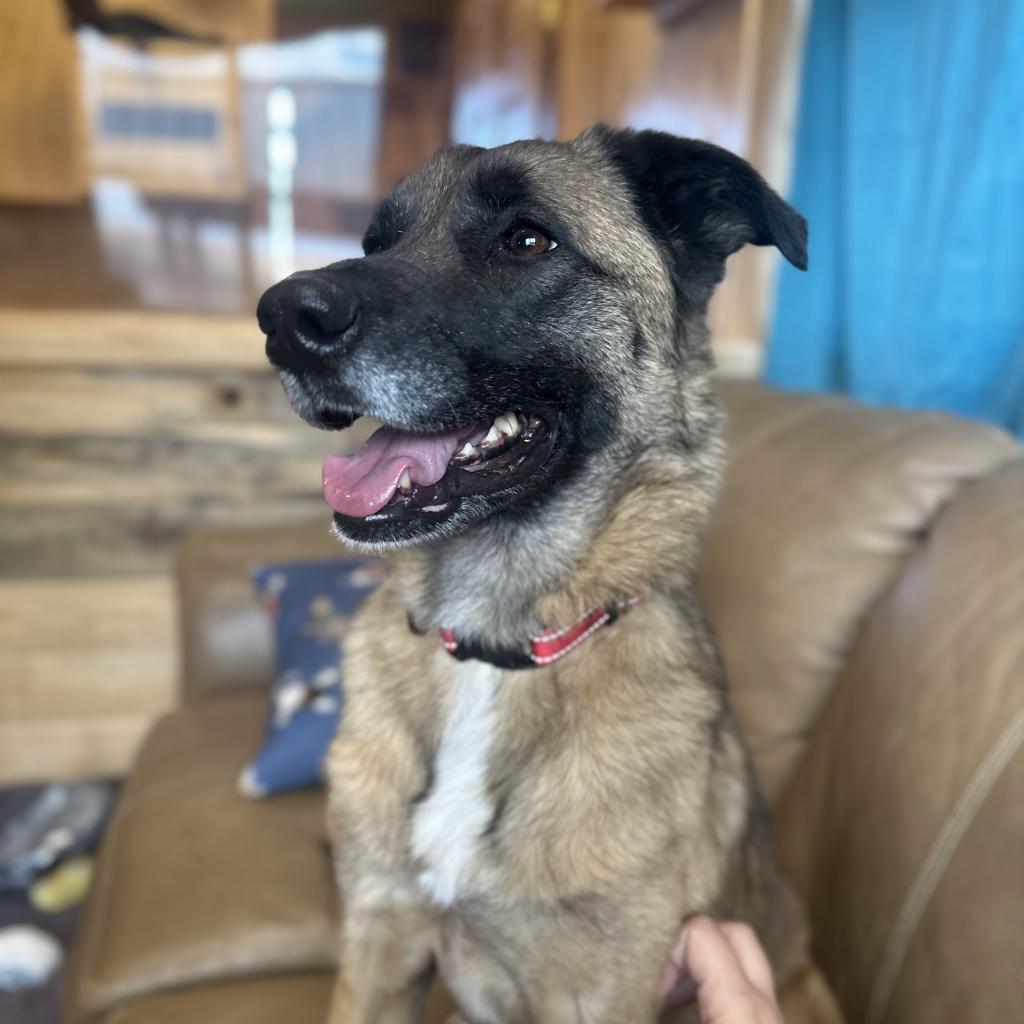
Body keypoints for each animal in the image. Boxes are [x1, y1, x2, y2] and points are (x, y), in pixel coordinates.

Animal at [258, 125, 831, 1024]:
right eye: (376, 242)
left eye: (527, 241)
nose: (281, 318)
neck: (494, 648)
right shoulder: (381, 944)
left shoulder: (597, 996)